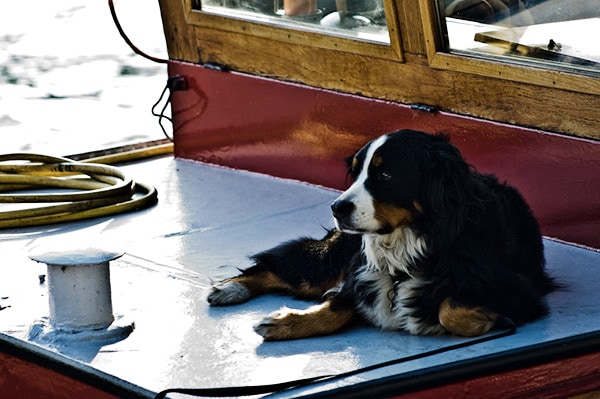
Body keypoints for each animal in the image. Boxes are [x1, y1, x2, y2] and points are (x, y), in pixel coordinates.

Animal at [207, 130, 556, 340]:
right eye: (357, 172)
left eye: (385, 174)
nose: (337, 207)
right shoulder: (359, 278)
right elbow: (334, 308)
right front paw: (286, 322)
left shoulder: (520, 290)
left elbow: (449, 308)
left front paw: (490, 319)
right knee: (279, 266)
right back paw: (231, 288)